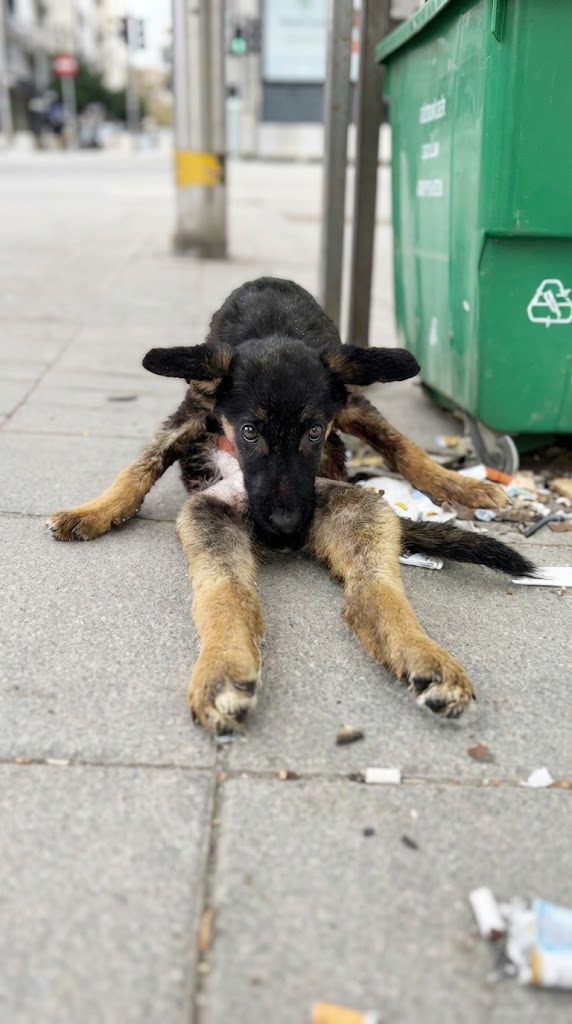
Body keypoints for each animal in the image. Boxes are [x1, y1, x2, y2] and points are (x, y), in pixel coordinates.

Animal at [48, 277, 535, 734]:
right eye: (249, 432)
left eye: (314, 432)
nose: (284, 528)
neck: (273, 325)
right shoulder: (191, 412)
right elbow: (140, 467)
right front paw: (92, 511)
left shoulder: (350, 403)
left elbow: (402, 447)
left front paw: (459, 484)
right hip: (211, 516)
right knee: (227, 591)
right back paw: (225, 669)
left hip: (353, 503)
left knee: (370, 588)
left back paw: (426, 656)